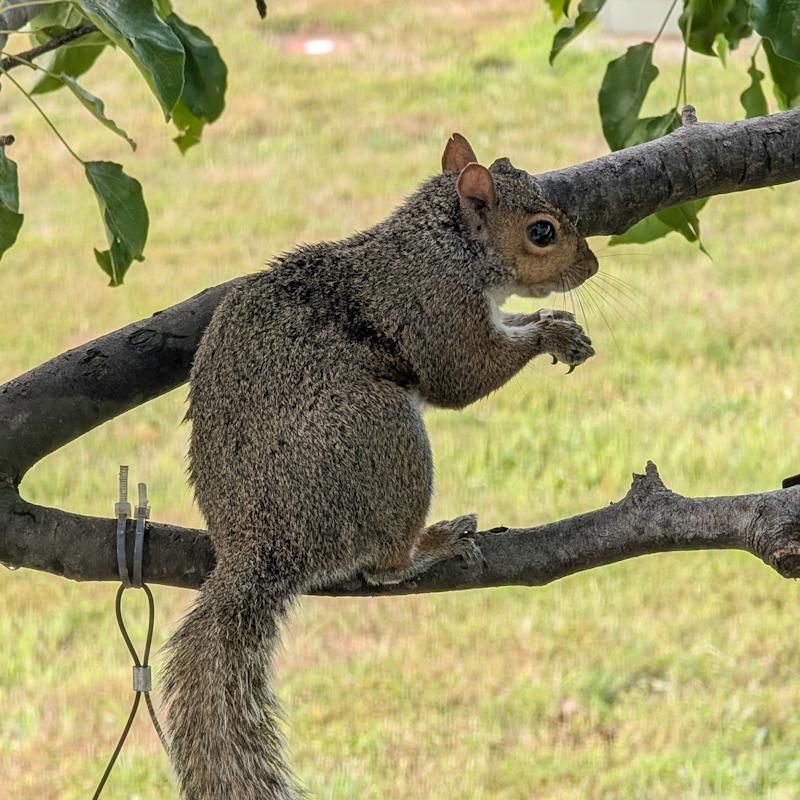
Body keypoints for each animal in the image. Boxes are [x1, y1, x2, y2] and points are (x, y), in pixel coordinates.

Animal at [162, 133, 598, 800]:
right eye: (542, 232)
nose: (593, 266)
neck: (446, 247)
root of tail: (261, 547)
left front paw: (553, 325)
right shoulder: (437, 311)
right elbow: (462, 376)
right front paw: (548, 334)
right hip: (386, 442)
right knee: (383, 568)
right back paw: (432, 544)